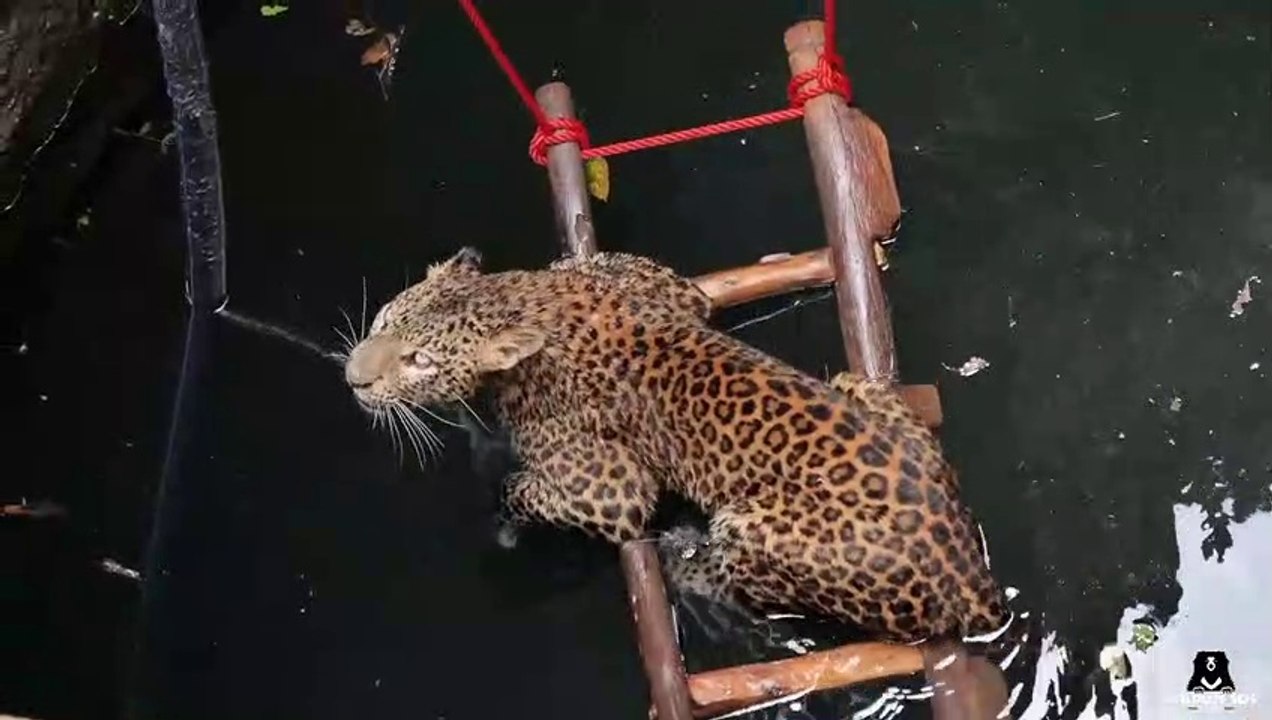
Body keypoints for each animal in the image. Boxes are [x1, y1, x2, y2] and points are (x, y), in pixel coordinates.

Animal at [343, 246, 1009, 643]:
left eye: (420, 361)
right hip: (854, 384)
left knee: (739, 581)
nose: (353, 378)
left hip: (752, 527)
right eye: (384, 320)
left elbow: (524, 489)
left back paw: (682, 555)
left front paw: (503, 522)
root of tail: (970, 580)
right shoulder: (671, 288)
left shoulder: (607, 489)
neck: (525, 303)